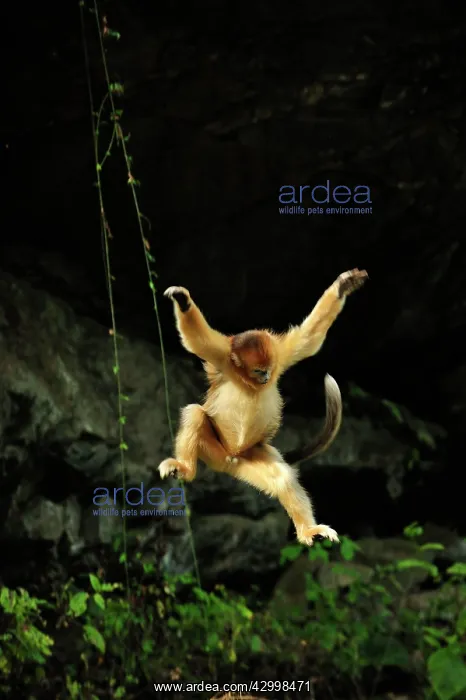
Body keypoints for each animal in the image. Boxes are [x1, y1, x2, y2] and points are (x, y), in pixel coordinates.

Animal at [158, 269, 368, 547]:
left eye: (267, 370)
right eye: (258, 371)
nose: (267, 377)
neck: (249, 382)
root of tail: (230, 458)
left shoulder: (279, 355)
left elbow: (308, 338)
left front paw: (343, 286)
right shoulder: (221, 357)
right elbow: (197, 341)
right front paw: (183, 301)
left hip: (250, 455)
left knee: (282, 477)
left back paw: (309, 530)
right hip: (213, 449)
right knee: (195, 413)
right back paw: (185, 468)